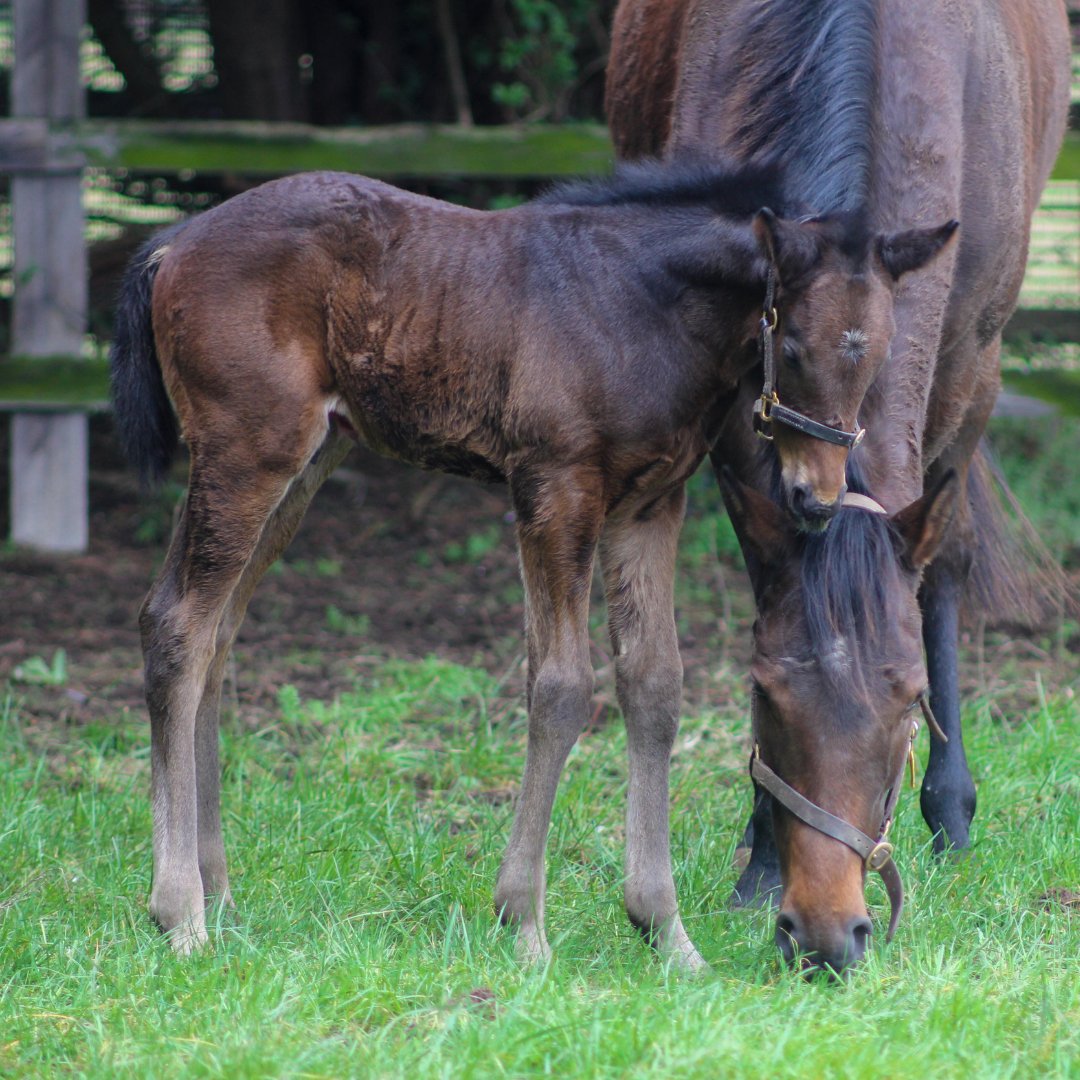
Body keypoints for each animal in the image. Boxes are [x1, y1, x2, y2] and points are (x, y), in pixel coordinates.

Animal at [111, 164, 954, 967]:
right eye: (796, 345)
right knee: (176, 624)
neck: (644, 309)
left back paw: (220, 895)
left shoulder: (651, 506)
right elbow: (559, 686)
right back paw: (180, 912)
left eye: (879, 353)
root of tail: (174, 243)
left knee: (215, 634)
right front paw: (524, 926)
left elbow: (654, 685)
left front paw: (667, 934)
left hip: (307, 461)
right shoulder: (555, 488)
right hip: (248, 452)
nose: (816, 496)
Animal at [609, 0, 1071, 972]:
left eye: (906, 704)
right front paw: (759, 860)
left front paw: (948, 812)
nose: (826, 934)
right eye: (764, 696)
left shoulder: (973, 369)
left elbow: (939, 568)